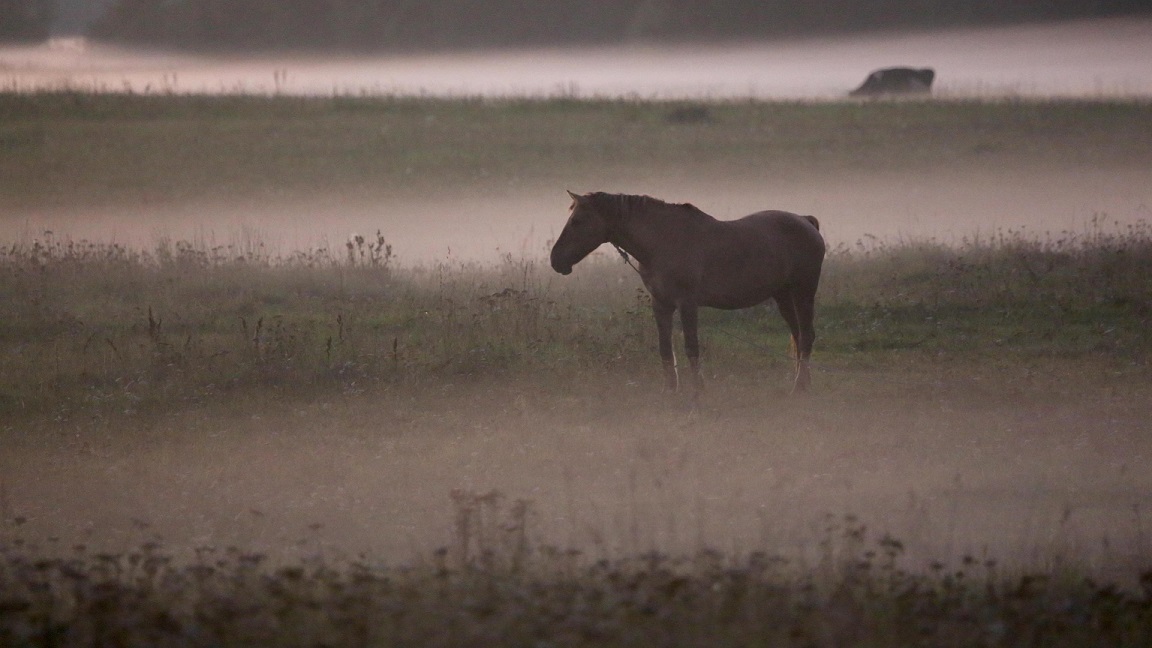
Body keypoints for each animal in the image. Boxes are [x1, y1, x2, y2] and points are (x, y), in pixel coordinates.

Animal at [550, 191, 826, 394]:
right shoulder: (660, 304)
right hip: (783, 296)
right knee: (798, 335)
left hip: (803, 292)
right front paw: (670, 391)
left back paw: (799, 387)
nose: (556, 260)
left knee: (806, 336)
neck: (662, 241)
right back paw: (803, 383)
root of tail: (806, 221)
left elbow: (691, 347)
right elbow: (665, 348)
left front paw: (696, 391)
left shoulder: (687, 304)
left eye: (577, 221)